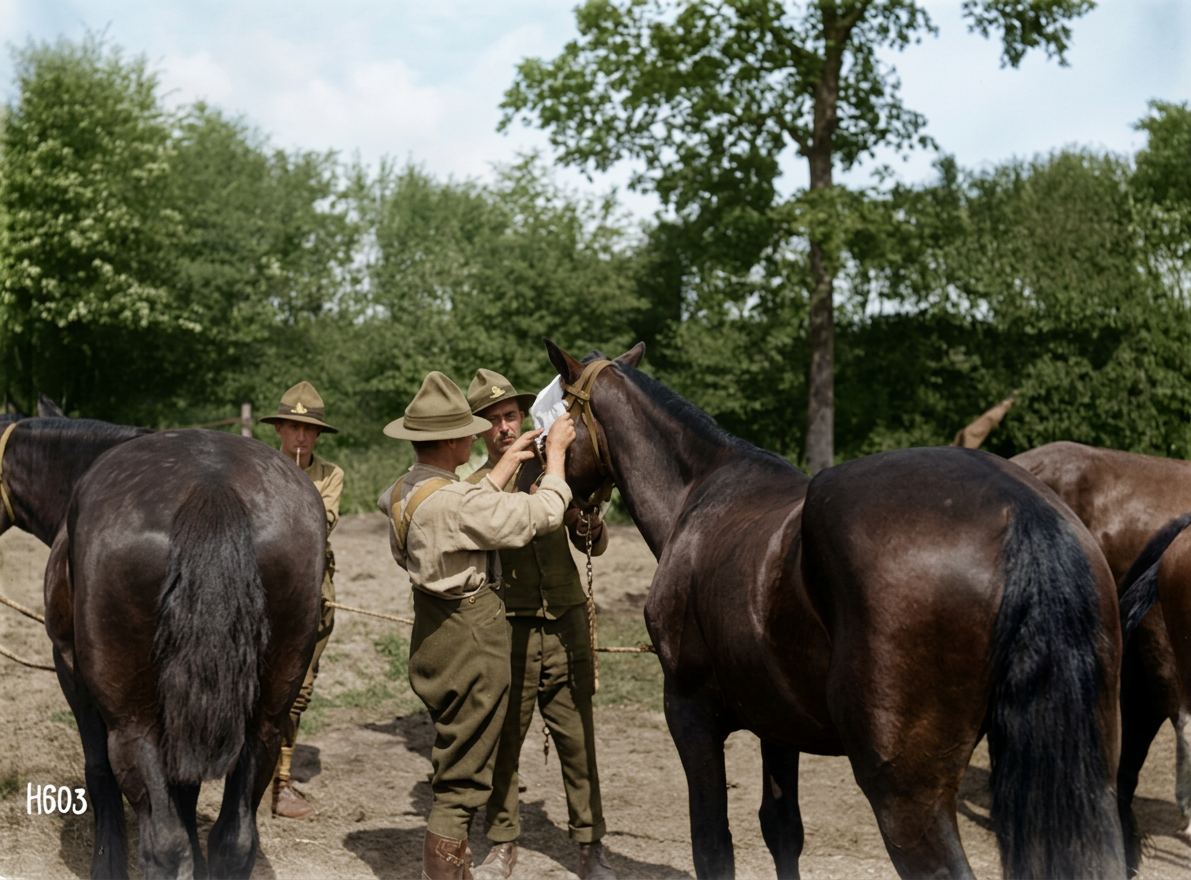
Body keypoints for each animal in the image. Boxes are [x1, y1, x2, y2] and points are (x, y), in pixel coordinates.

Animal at [0, 418, 325, 879]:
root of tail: (211, 488)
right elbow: (185, 792)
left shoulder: (69, 671)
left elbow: (99, 774)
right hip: (264, 726)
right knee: (235, 839)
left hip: (133, 726)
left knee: (164, 844)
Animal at [543, 340, 1125, 879]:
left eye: (549, 423)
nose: (570, 516)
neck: (700, 492)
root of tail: (1020, 509)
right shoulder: (776, 723)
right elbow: (782, 829)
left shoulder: (690, 712)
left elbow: (713, 845)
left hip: (903, 790)